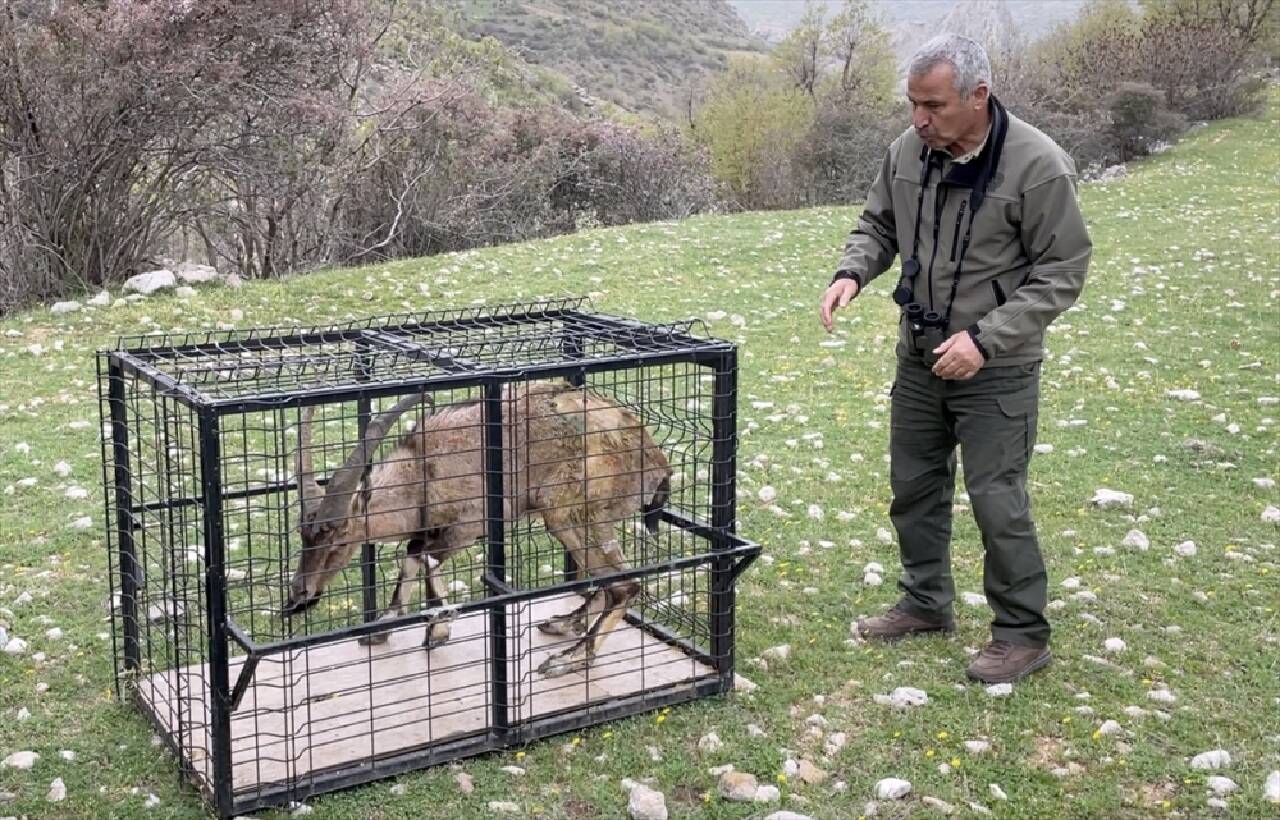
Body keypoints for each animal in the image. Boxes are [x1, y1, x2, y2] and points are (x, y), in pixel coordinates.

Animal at [284, 381, 675, 675]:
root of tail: (656, 461)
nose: (299, 596)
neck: (422, 469)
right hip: (594, 519)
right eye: (302, 538)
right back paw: (565, 623)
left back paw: (569, 660)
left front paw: (438, 630)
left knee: (625, 586)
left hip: (565, 512)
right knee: (610, 579)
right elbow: (411, 557)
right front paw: (384, 627)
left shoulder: (468, 526)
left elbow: (425, 560)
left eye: (338, 541)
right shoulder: (430, 530)